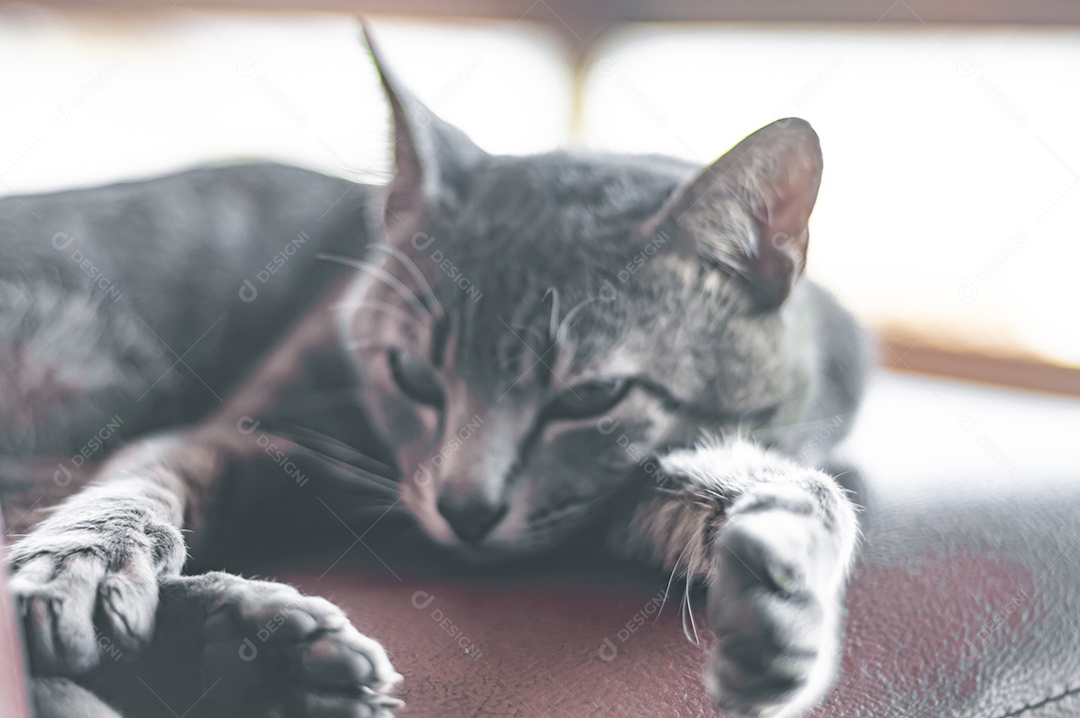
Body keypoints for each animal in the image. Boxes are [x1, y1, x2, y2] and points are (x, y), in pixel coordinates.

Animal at [2, 32, 868, 716]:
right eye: (415, 375)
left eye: (591, 396)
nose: (464, 508)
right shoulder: (247, 428)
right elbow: (144, 481)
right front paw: (84, 564)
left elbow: (773, 486)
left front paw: (783, 590)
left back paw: (270, 653)